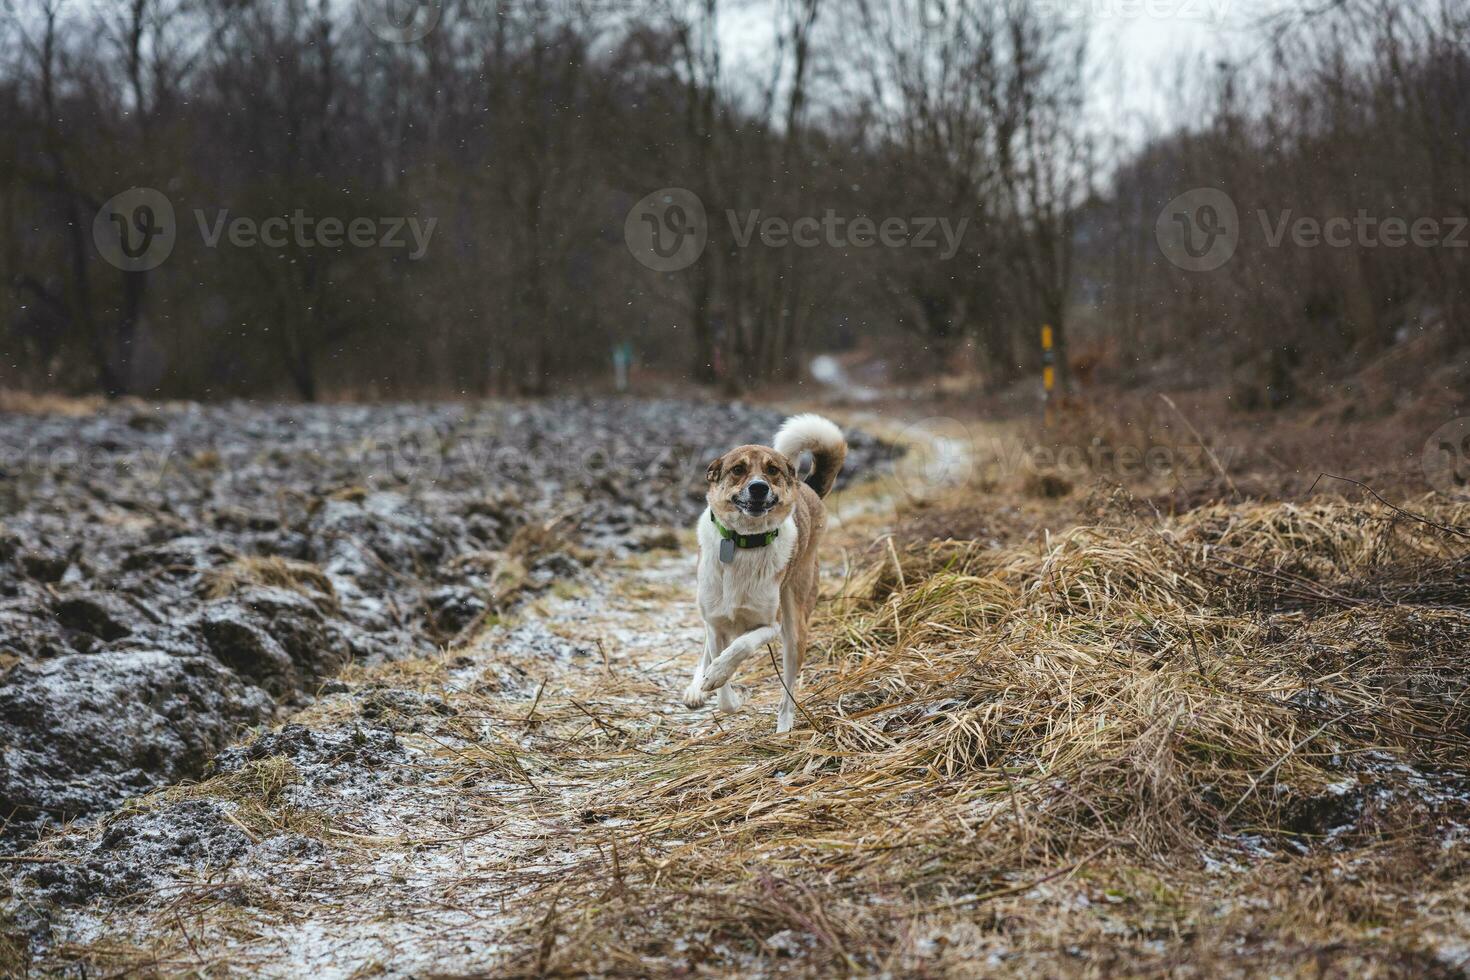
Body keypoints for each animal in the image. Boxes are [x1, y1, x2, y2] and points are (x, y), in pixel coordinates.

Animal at [682, 411, 846, 728]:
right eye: (738, 469)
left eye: (772, 470)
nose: (759, 487)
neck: (744, 542)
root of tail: (808, 487)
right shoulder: (715, 622)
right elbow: (723, 695)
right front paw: (714, 685)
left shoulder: (770, 625)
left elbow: (740, 647)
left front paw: (722, 676)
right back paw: (697, 686)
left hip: (795, 627)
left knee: (787, 694)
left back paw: (784, 729)